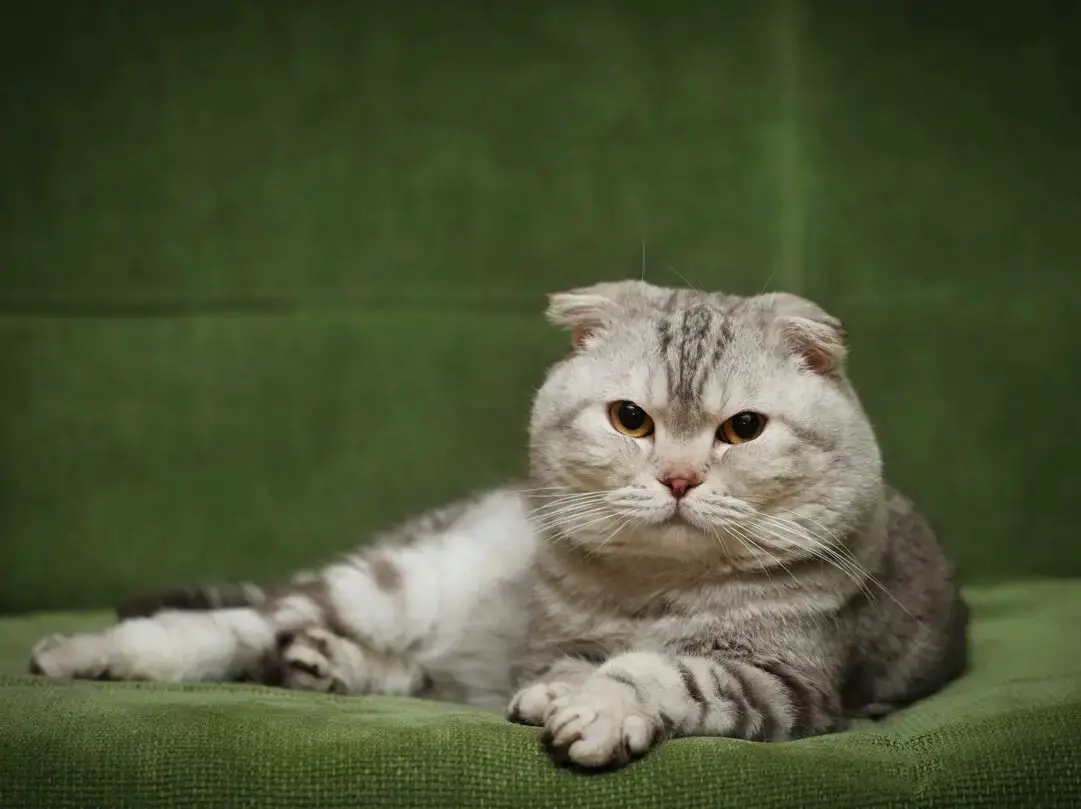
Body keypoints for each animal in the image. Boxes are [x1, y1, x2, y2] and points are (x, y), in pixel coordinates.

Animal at [29, 281, 968, 770]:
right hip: (394, 581)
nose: (676, 477)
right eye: (629, 418)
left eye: (742, 429)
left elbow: (661, 671)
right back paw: (86, 652)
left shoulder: (789, 684)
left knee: (367, 661)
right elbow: (595, 662)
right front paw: (575, 690)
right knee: (228, 626)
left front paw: (594, 705)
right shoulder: (553, 638)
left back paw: (327, 665)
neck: (656, 589)